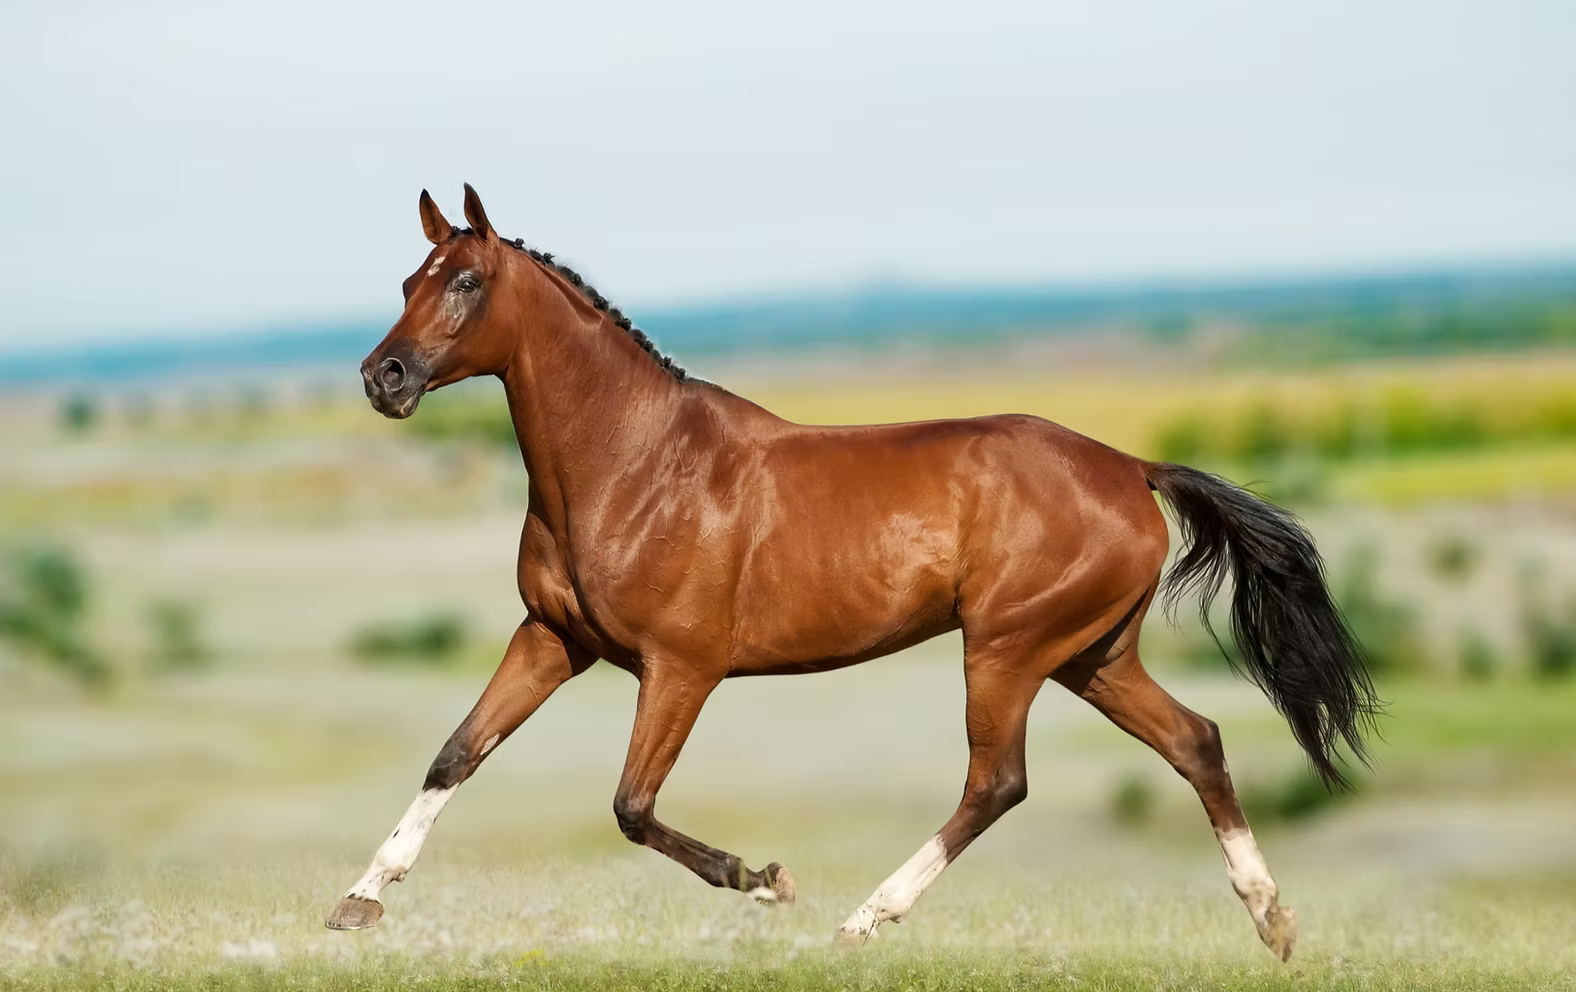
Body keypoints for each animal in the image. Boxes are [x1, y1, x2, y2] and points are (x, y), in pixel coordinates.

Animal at [326, 185, 1378, 960]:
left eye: (466, 280)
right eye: (409, 277)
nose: (383, 378)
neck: (631, 465)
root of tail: (1129, 466)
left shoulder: (681, 667)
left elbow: (631, 805)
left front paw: (764, 882)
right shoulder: (552, 639)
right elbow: (457, 753)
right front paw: (358, 901)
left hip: (1008, 648)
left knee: (996, 784)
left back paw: (860, 922)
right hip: (1092, 655)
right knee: (1195, 742)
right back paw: (1274, 923)